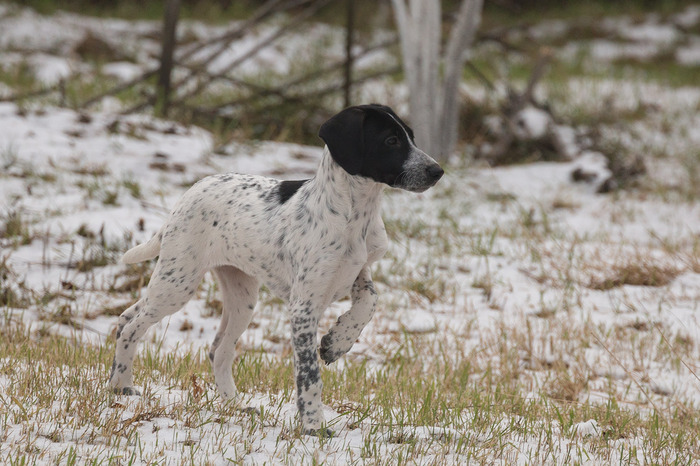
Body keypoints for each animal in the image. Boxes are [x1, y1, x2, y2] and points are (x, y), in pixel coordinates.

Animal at [110, 104, 442, 436]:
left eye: (411, 137)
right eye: (391, 141)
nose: (437, 171)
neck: (355, 215)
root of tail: (190, 192)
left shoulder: (358, 273)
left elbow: (370, 303)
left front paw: (337, 343)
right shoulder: (303, 308)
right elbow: (310, 376)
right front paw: (313, 425)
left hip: (239, 297)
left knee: (209, 347)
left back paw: (233, 404)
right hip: (178, 282)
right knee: (132, 327)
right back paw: (121, 385)